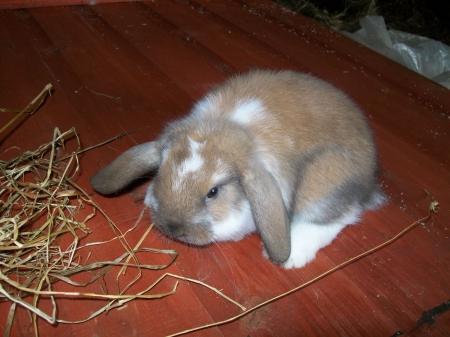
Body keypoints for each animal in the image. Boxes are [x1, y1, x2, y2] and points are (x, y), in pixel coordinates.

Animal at [89, 70, 384, 268]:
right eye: (161, 173)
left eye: (213, 192)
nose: (172, 228)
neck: (226, 125)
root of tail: (369, 183)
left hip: (325, 179)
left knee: (338, 216)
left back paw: (293, 255)